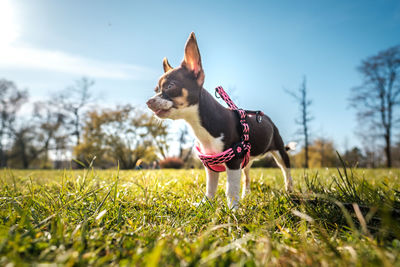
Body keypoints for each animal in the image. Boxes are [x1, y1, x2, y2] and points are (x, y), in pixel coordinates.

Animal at [146, 33, 294, 209]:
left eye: (170, 86)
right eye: (156, 90)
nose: (148, 102)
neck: (200, 128)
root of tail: (267, 119)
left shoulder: (234, 162)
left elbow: (231, 189)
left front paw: (233, 210)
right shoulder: (211, 166)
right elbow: (211, 188)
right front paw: (205, 204)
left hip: (279, 152)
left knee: (286, 172)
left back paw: (290, 192)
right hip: (247, 162)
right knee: (247, 177)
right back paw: (246, 195)